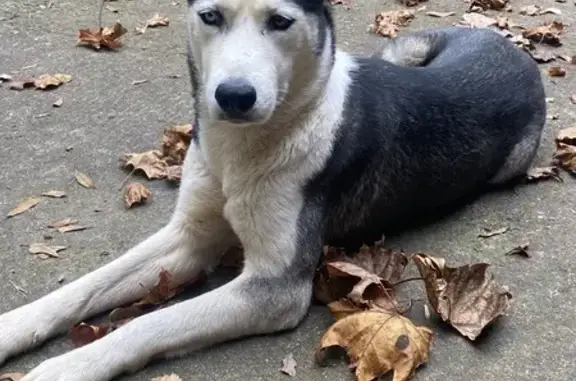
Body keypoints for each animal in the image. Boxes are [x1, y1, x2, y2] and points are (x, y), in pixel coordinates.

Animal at [0, 0, 548, 380]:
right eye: (211, 16)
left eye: (281, 21)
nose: (234, 96)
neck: (241, 151)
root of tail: (510, 46)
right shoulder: (189, 238)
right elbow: (83, 288)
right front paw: (12, 327)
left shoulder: (275, 287)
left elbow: (151, 323)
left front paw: (65, 367)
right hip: (396, 50)